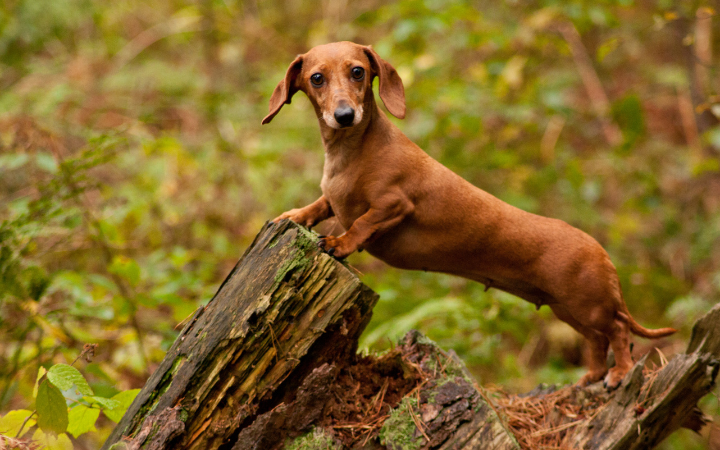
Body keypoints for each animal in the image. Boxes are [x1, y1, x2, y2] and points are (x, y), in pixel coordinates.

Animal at [262, 40, 676, 388]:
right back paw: (591, 375)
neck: (352, 151)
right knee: (597, 341)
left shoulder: (393, 204)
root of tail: (602, 253)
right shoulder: (334, 199)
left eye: (358, 71)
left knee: (618, 332)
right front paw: (293, 216)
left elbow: (361, 223)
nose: (344, 115)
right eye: (316, 78)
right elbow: (320, 205)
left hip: (589, 306)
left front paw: (340, 243)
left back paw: (619, 373)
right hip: (568, 310)